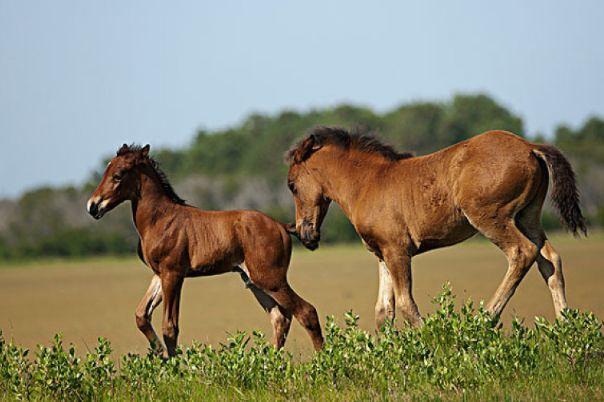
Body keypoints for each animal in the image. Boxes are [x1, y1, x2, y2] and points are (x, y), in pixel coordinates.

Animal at [87, 144, 324, 354]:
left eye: (118, 175)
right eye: (106, 170)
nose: (93, 206)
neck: (161, 218)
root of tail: (281, 226)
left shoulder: (173, 274)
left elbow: (170, 327)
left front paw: (174, 369)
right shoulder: (159, 274)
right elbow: (141, 316)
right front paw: (160, 355)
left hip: (270, 279)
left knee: (307, 312)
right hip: (255, 281)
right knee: (280, 318)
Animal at [286, 127, 584, 328]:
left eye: (291, 185)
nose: (304, 234)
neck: (368, 182)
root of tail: (530, 145)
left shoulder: (397, 251)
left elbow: (406, 304)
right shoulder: (381, 253)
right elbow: (383, 311)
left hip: (491, 217)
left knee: (522, 252)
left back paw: (484, 319)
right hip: (527, 217)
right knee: (550, 260)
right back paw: (566, 328)